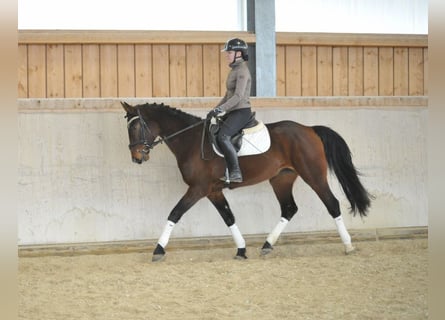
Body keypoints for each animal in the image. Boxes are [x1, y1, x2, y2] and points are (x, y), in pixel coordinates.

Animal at [120, 101, 372, 262]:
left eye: (136, 126)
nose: (137, 157)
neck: (189, 141)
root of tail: (309, 129)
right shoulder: (212, 190)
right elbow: (228, 217)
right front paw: (241, 250)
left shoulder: (198, 188)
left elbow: (175, 213)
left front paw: (158, 249)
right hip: (281, 179)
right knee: (289, 208)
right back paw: (267, 245)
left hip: (313, 176)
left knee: (332, 204)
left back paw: (348, 245)